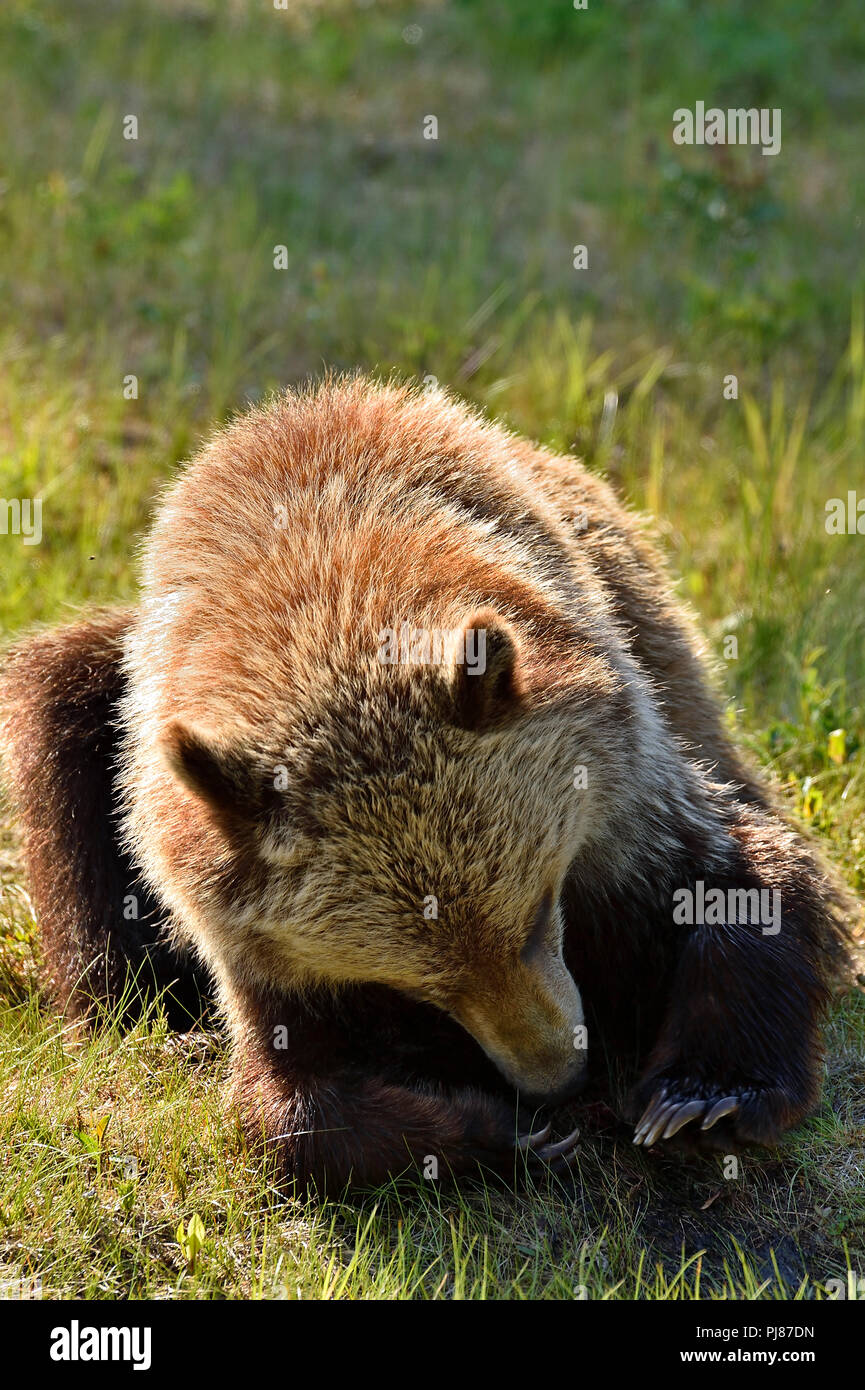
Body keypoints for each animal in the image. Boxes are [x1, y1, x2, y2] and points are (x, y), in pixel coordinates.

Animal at [0, 374, 853, 1191]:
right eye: (423, 984)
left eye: (535, 915)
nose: (554, 1075)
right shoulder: (250, 929)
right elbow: (292, 1101)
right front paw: (498, 1134)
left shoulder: (625, 796)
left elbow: (741, 877)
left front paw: (701, 1098)